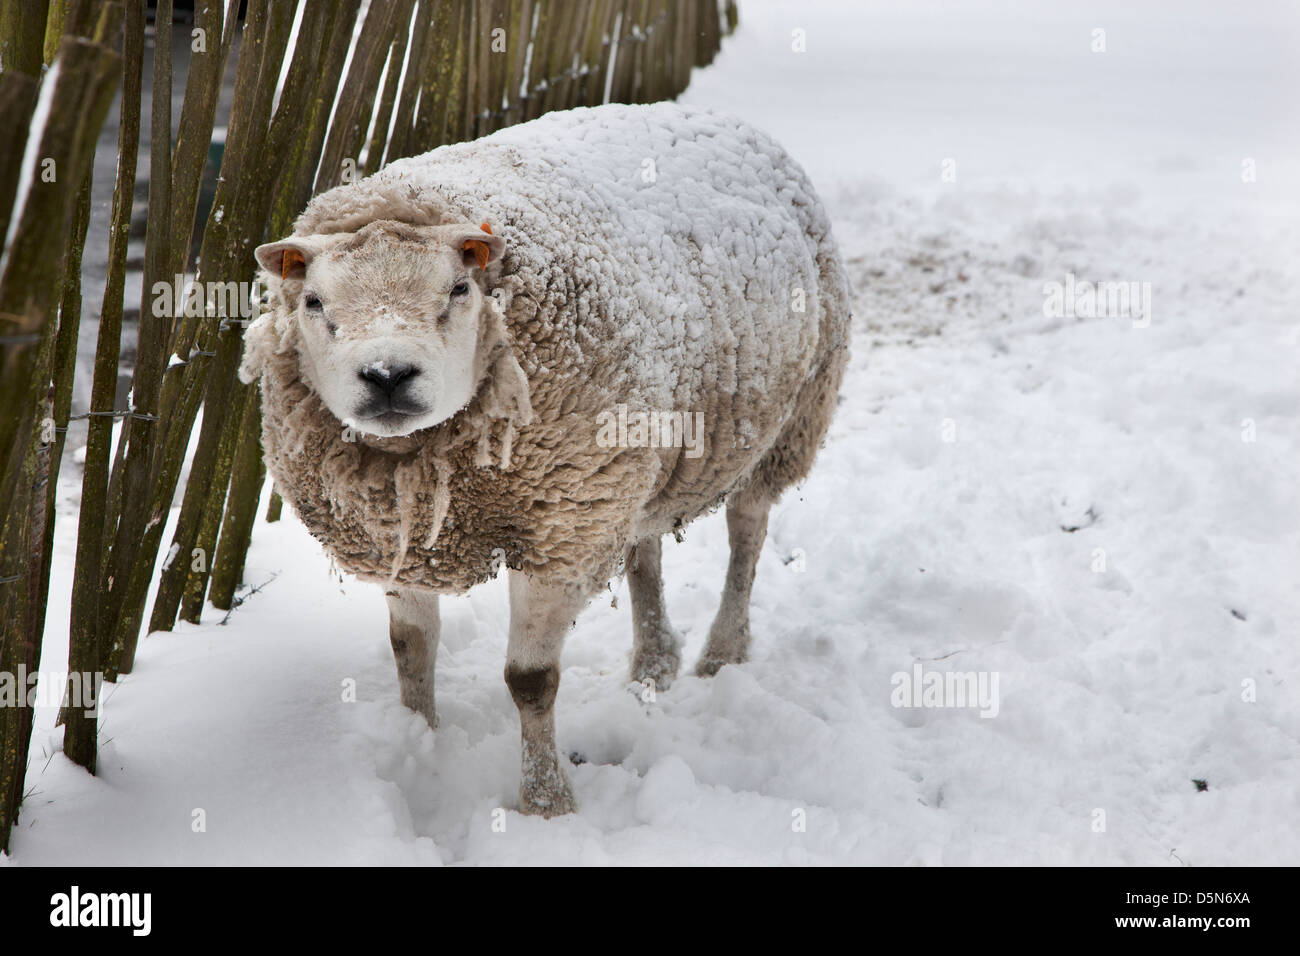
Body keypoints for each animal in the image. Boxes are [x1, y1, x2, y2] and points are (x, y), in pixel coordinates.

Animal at [240, 100, 852, 816]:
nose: (388, 375)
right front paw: (420, 743)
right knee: (643, 546)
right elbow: (410, 652)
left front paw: (546, 801)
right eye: (314, 302)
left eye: (459, 290)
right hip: (632, 461)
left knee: (746, 532)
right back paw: (652, 665)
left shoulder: (559, 531)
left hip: (785, 422)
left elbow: (530, 681)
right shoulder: (404, 534)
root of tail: (722, 117)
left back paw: (720, 654)